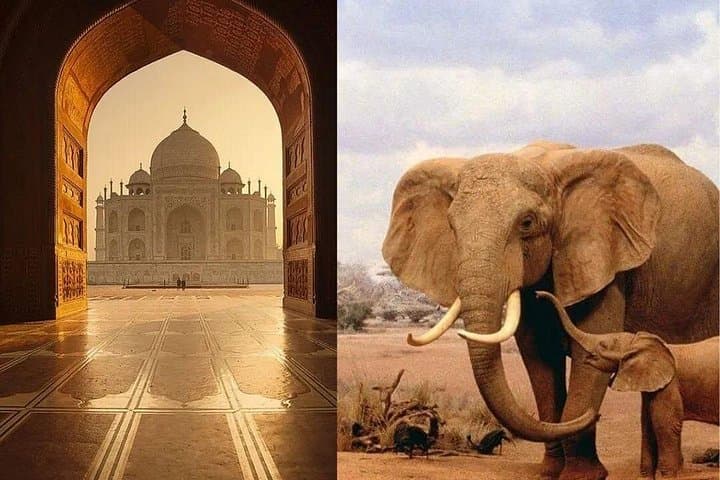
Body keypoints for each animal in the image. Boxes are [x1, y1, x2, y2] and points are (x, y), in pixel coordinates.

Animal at [538, 290, 719, 479]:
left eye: (603, 345)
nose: (538, 294)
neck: (639, 343)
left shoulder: (669, 385)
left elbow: (666, 425)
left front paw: (668, 476)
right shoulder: (651, 387)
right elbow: (647, 426)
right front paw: (646, 477)